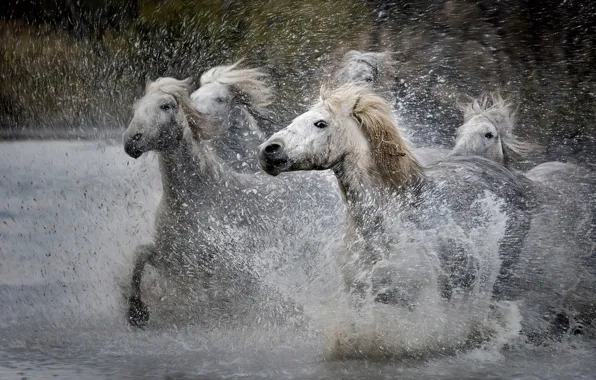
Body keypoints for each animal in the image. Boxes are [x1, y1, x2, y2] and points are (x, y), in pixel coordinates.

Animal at [121, 76, 340, 326]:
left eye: (165, 106)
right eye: (136, 108)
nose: (131, 141)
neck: (193, 199)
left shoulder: (211, 265)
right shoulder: (173, 259)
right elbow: (140, 254)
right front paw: (136, 312)